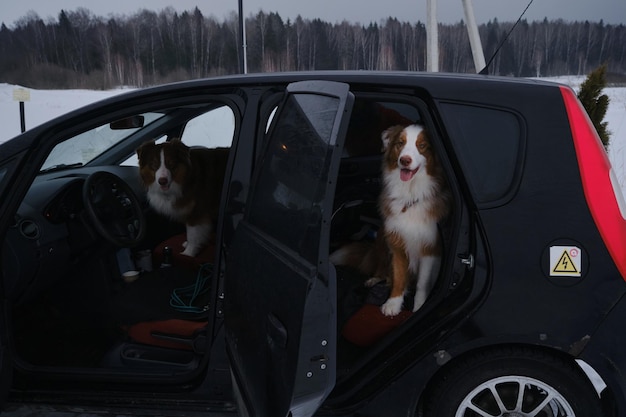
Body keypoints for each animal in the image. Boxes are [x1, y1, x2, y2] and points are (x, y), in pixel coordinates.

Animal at [332, 123, 448, 316]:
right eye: (400, 143)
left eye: (422, 146)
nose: (405, 160)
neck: (410, 194)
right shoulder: (397, 241)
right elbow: (399, 277)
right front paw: (393, 303)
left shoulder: (430, 246)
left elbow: (422, 283)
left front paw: (419, 306)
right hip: (381, 238)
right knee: (382, 268)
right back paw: (375, 279)